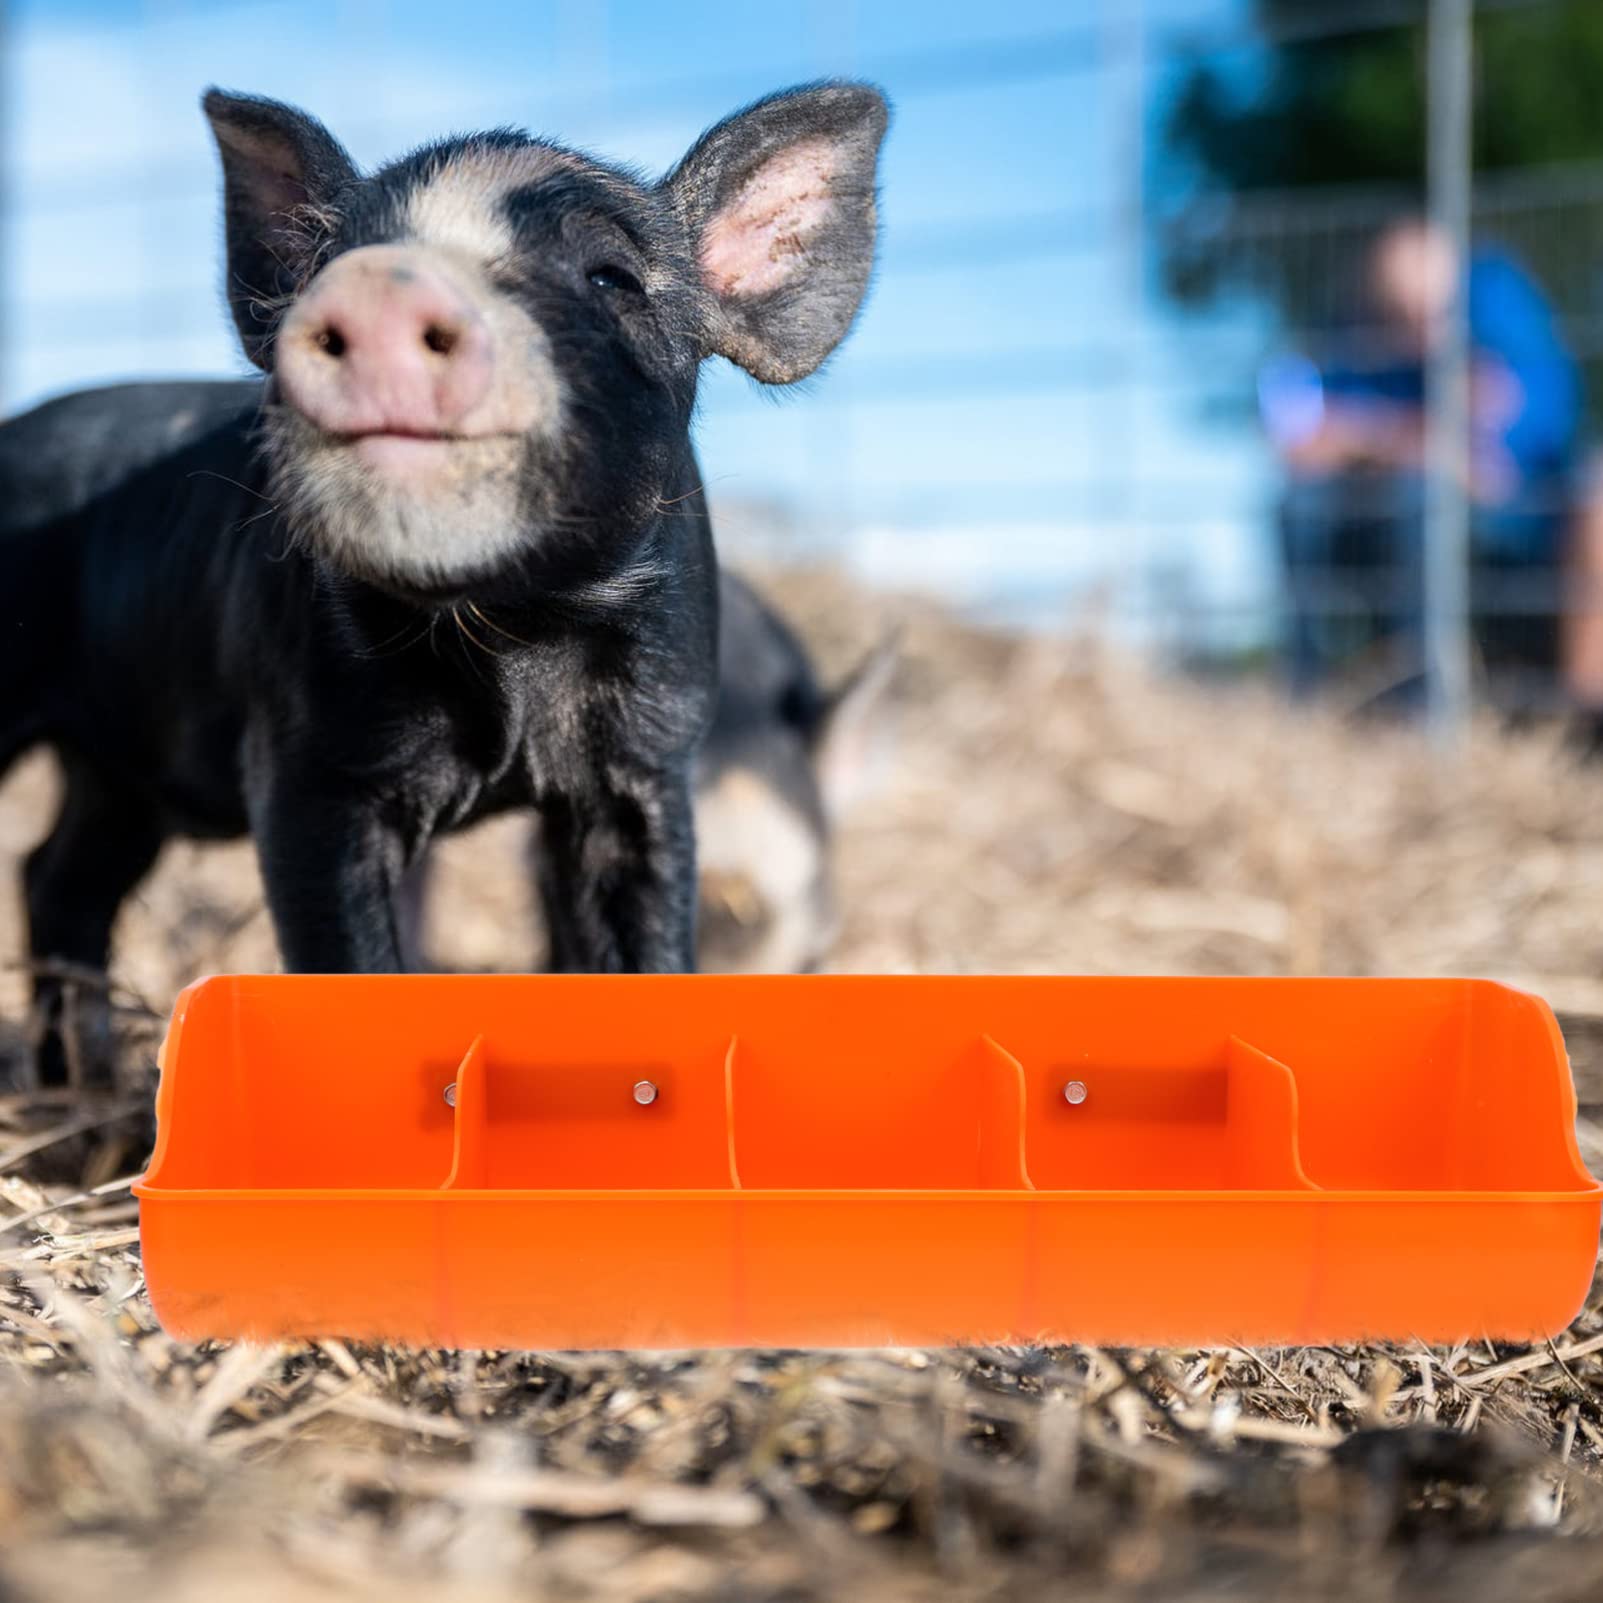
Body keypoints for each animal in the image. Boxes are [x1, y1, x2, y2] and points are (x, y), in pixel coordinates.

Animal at [0, 82, 888, 1082]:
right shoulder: (309, 767)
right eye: (332, 263)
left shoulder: (649, 764)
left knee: (59, 875)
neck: (513, 633)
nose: (382, 282)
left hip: (120, 771)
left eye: (610, 278)